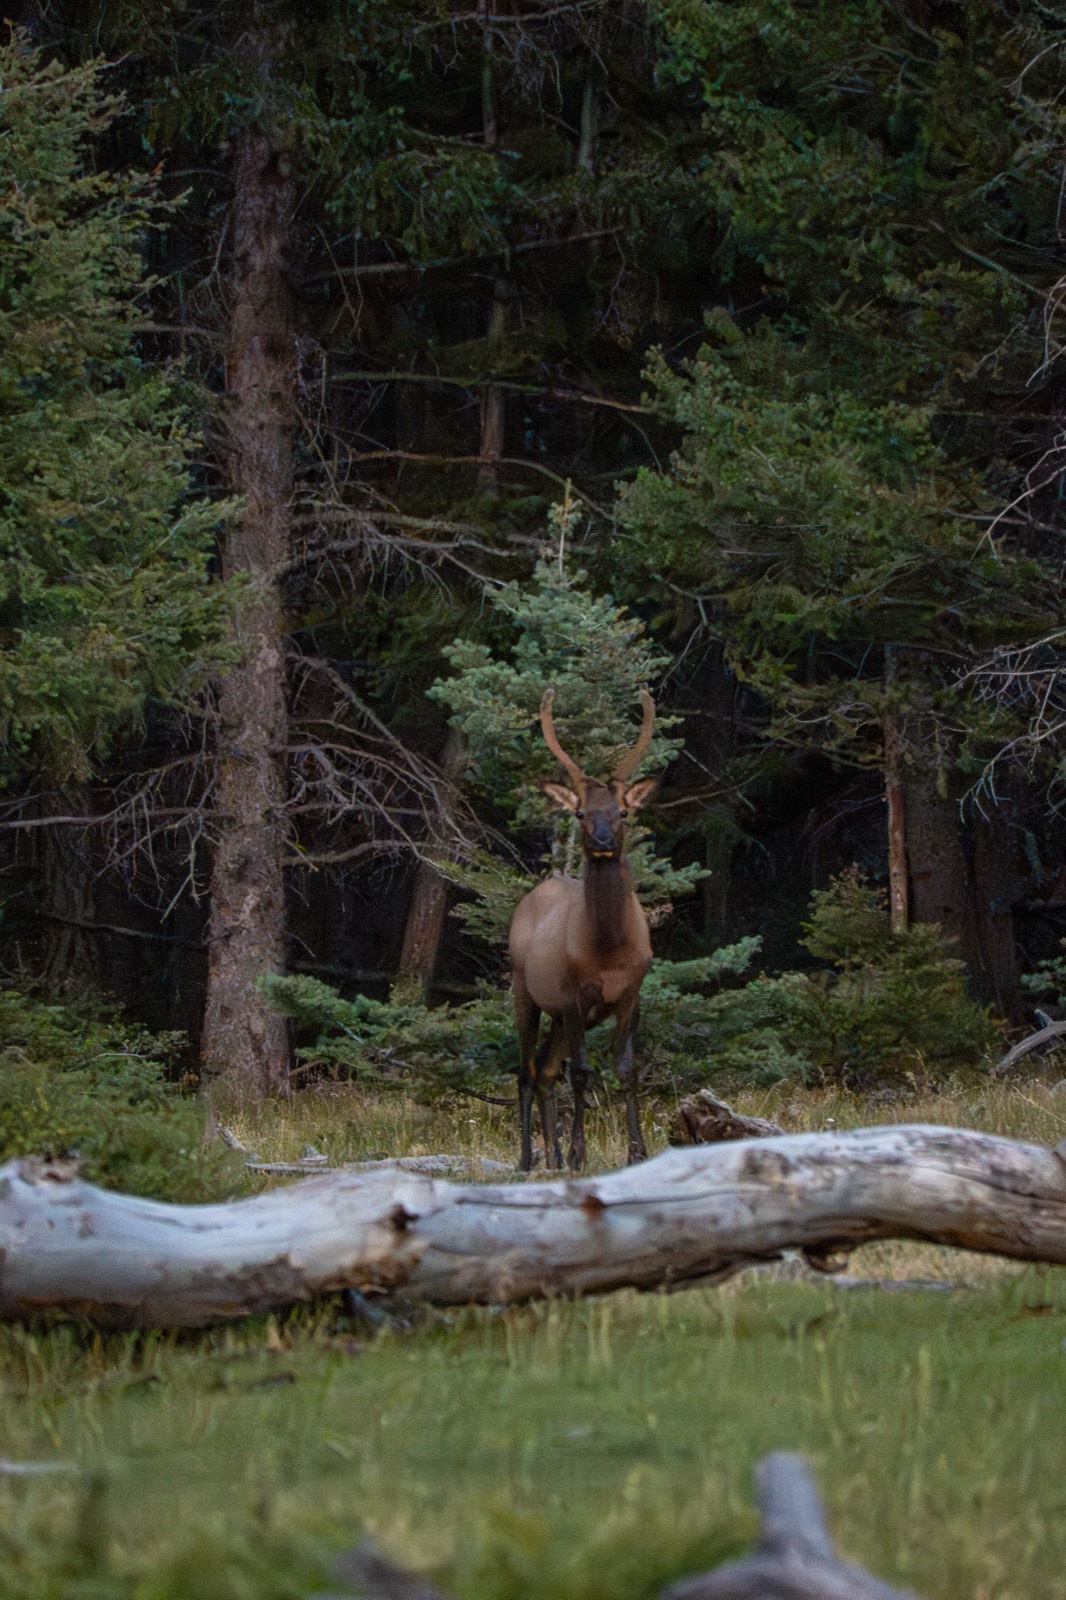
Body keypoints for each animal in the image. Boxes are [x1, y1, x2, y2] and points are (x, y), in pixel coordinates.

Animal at [508, 688, 658, 1172]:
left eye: (623, 811)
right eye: (578, 813)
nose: (603, 841)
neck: (608, 949)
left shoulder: (632, 992)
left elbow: (626, 1069)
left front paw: (636, 1150)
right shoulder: (572, 994)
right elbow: (581, 1074)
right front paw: (578, 1153)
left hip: (556, 1013)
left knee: (544, 1071)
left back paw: (551, 1157)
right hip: (525, 989)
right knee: (527, 1070)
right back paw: (528, 1160)